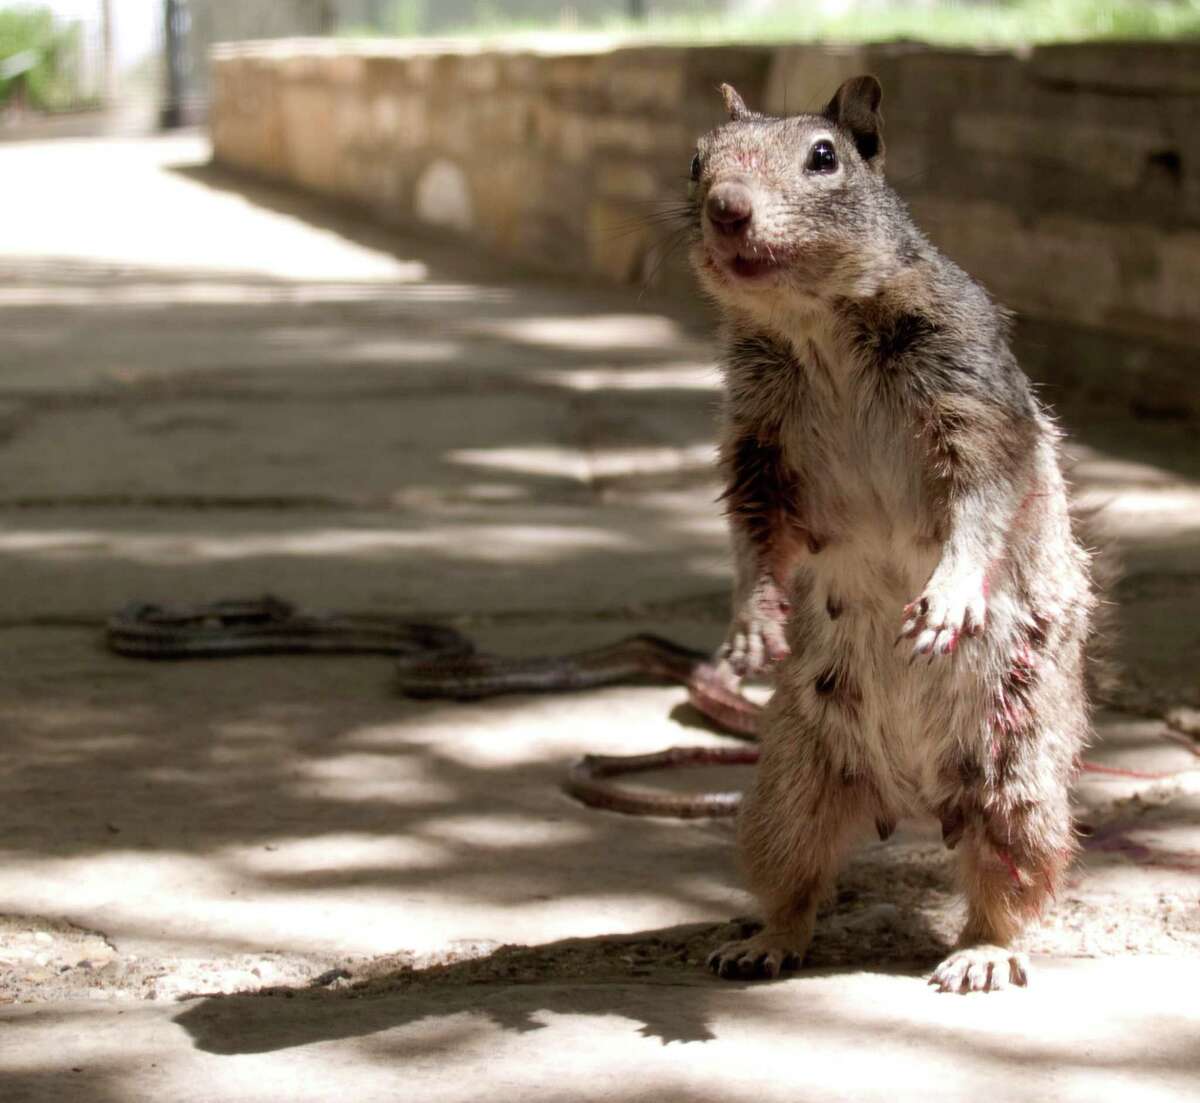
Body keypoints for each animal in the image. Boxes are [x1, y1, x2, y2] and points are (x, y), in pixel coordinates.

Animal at [690, 76, 1096, 993]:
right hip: (785, 788)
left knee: (1005, 883)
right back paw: (763, 940)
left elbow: (983, 499)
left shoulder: (974, 402)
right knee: (795, 877)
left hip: (1019, 784)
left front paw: (947, 599)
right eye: (696, 160)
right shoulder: (756, 441)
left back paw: (982, 953)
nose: (726, 209)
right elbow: (753, 527)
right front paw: (752, 619)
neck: (817, 328)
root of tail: (912, 799)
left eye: (825, 156)